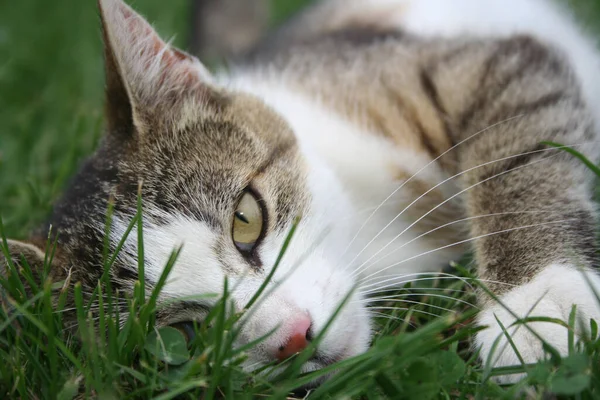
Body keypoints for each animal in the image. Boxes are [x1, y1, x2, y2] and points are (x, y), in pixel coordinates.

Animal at [3, 0, 600, 384]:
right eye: (188, 329)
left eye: (246, 218)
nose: (294, 336)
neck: (369, 239)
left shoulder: (471, 63)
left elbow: (519, 149)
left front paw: (537, 304)